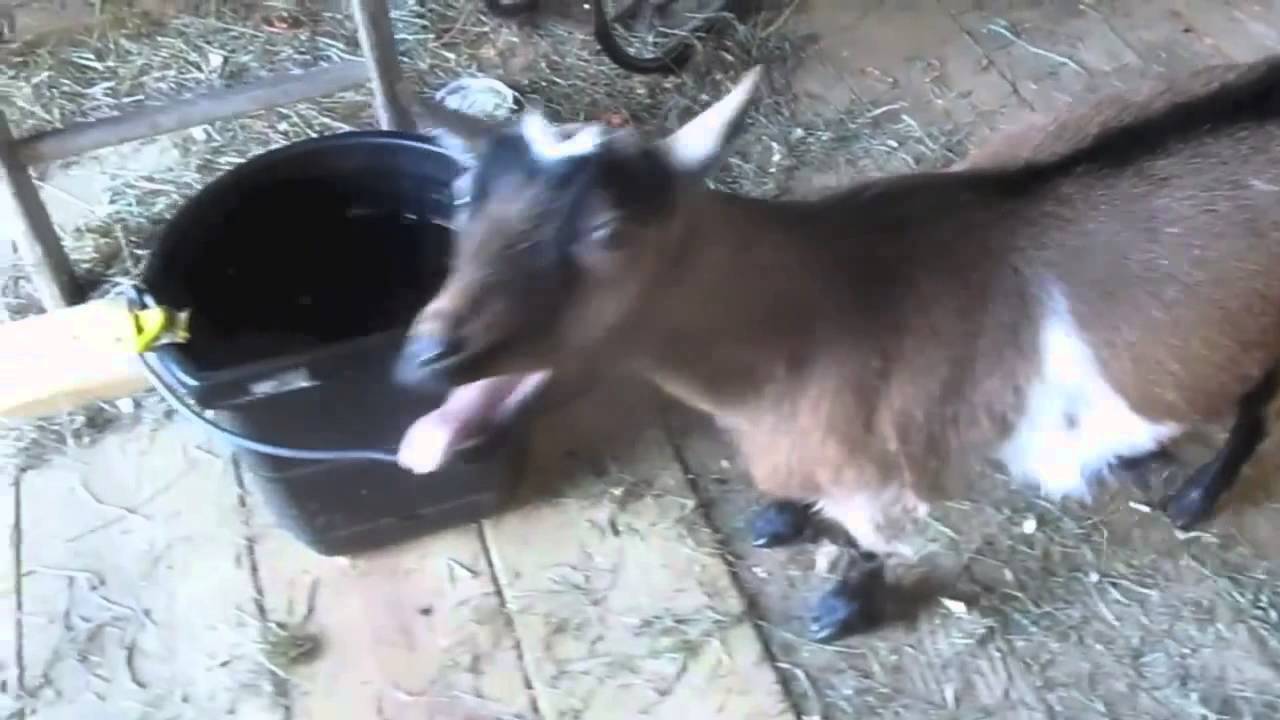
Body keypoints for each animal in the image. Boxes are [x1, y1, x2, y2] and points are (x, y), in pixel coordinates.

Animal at [392, 58, 1280, 643]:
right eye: (464, 200)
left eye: (608, 231)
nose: (423, 359)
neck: (812, 312)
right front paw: (781, 517)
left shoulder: (879, 468)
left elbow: (867, 545)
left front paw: (843, 607)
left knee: (1257, 400)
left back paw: (1198, 494)